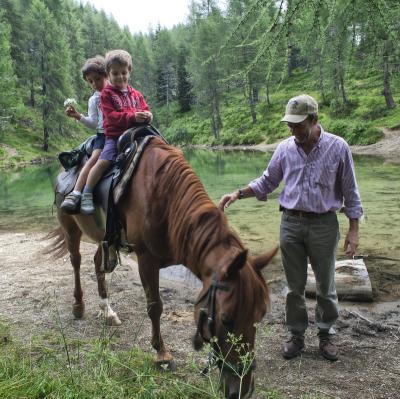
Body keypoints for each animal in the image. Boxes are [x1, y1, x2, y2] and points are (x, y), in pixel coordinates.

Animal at [47, 138, 278, 399]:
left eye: (260, 315)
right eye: (226, 319)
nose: (243, 389)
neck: (166, 199)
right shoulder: (146, 260)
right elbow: (155, 306)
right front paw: (161, 354)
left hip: (102, 237)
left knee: (98, 264)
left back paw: (108, 311)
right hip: (70, 229)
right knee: (76, 261)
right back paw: (78, 306)